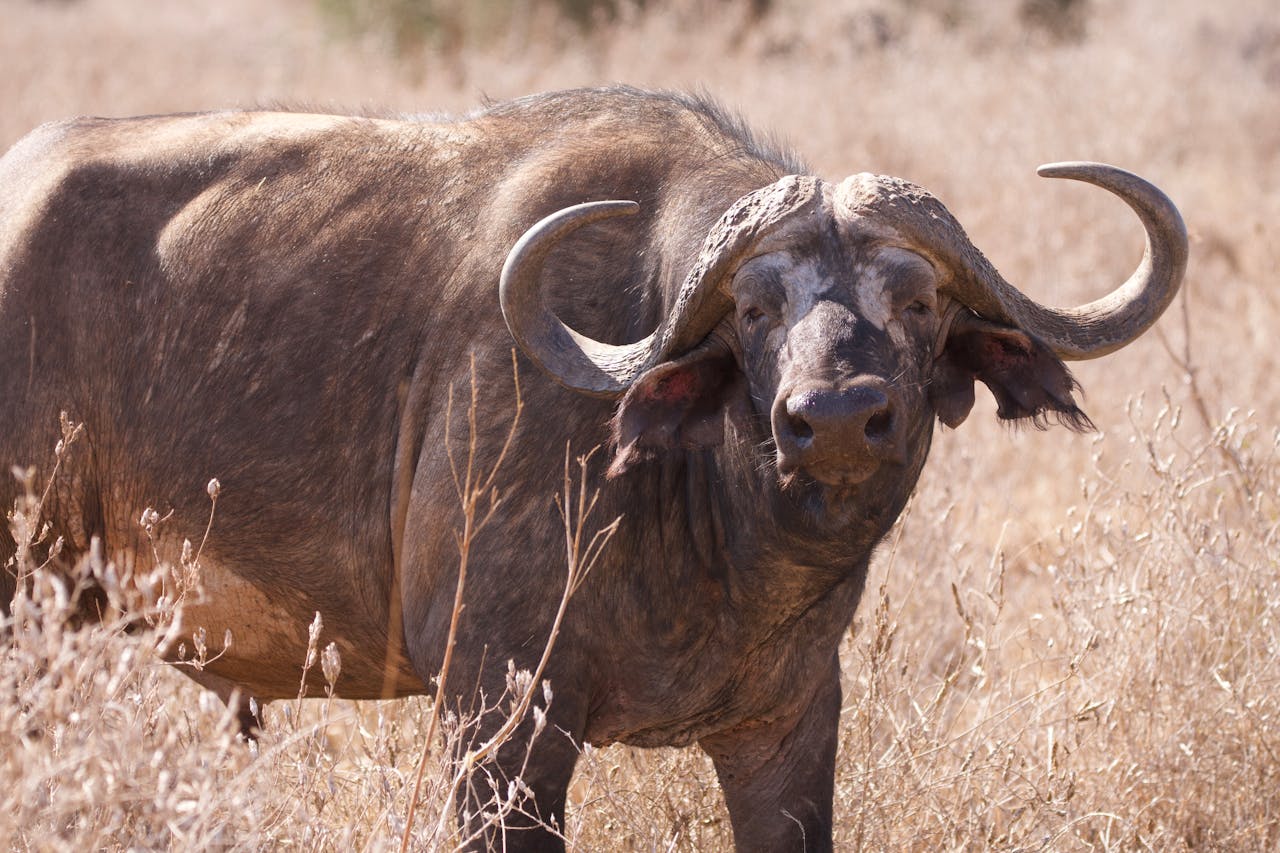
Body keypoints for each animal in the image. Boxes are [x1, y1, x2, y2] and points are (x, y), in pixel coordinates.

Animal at [0, 87, 1182, 850]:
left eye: (921, 299)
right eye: (755, 309)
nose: (839, 419)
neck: (713, 538)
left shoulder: (790, 724)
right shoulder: (497, 715)